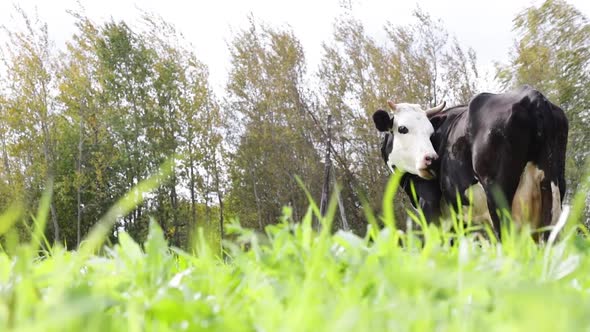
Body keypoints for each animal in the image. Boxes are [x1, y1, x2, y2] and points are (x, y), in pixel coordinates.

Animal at [372, 87, 572, 240]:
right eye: (403, 129)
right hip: (553, 186)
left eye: (430, 132)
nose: (432, 160)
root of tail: (533, 96)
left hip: (498, 193)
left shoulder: (429, 204)